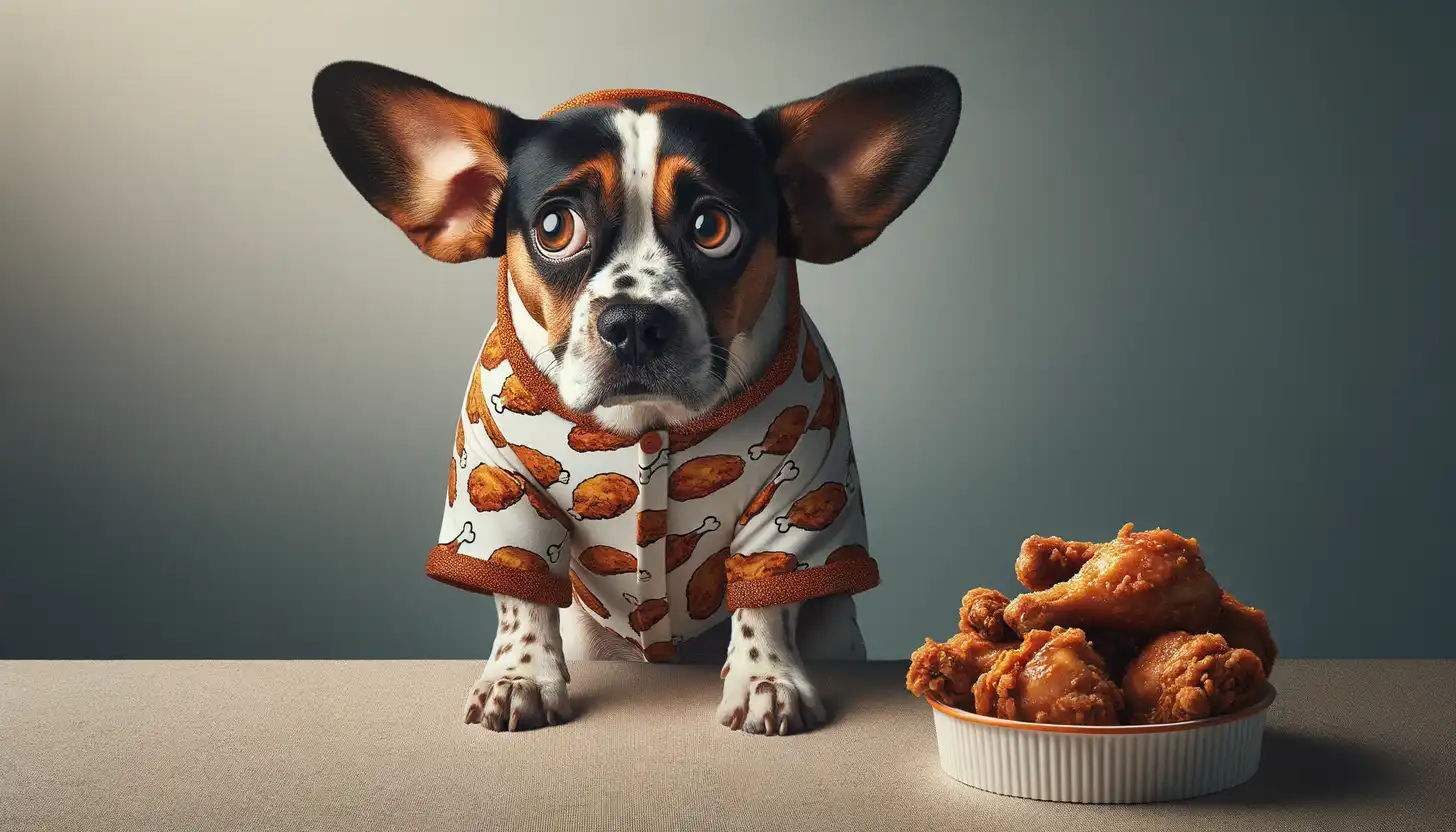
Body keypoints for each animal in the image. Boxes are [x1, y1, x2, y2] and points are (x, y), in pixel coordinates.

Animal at [313, 60, 960, 734]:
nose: (633, 322)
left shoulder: (802, 482)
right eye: (554, 228)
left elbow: (765, 598)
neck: (648, 423)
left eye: (712, 228)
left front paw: (767, 679)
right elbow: (520, 595)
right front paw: (520, 676)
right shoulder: (499, 482)